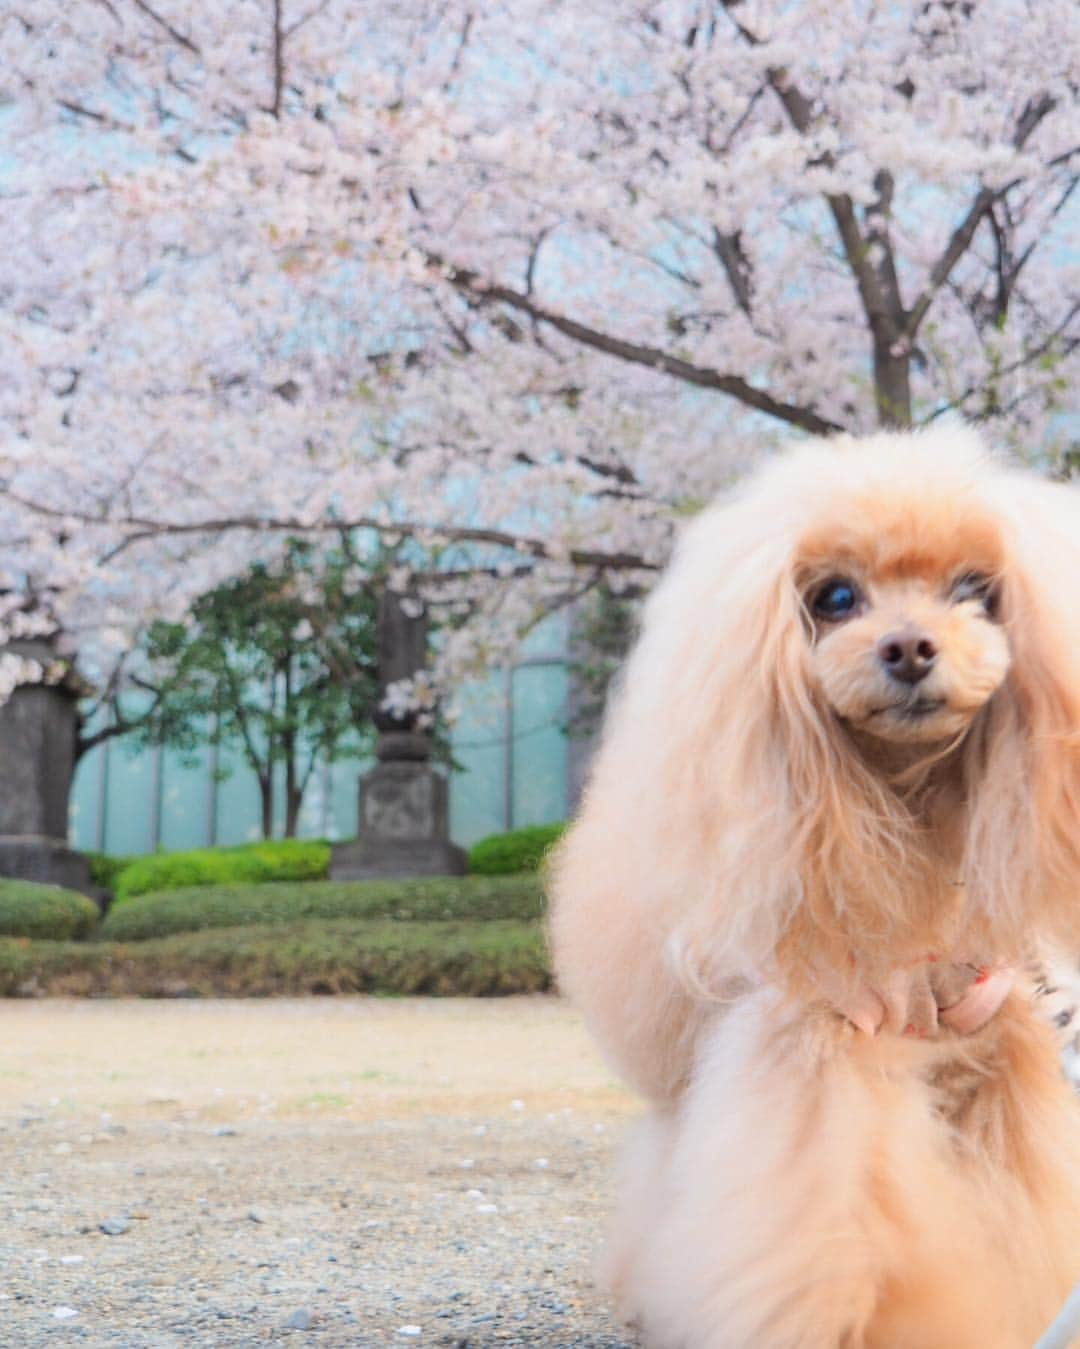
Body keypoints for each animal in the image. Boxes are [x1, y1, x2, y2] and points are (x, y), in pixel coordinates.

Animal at [552, 428, 1078, 1349]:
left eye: (974, 590)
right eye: (835, 596)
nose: (909, 647)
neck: (911, 807)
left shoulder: (1005, 1048)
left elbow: (1022, 1202)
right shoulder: (823, 1041)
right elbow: (825, 1216)